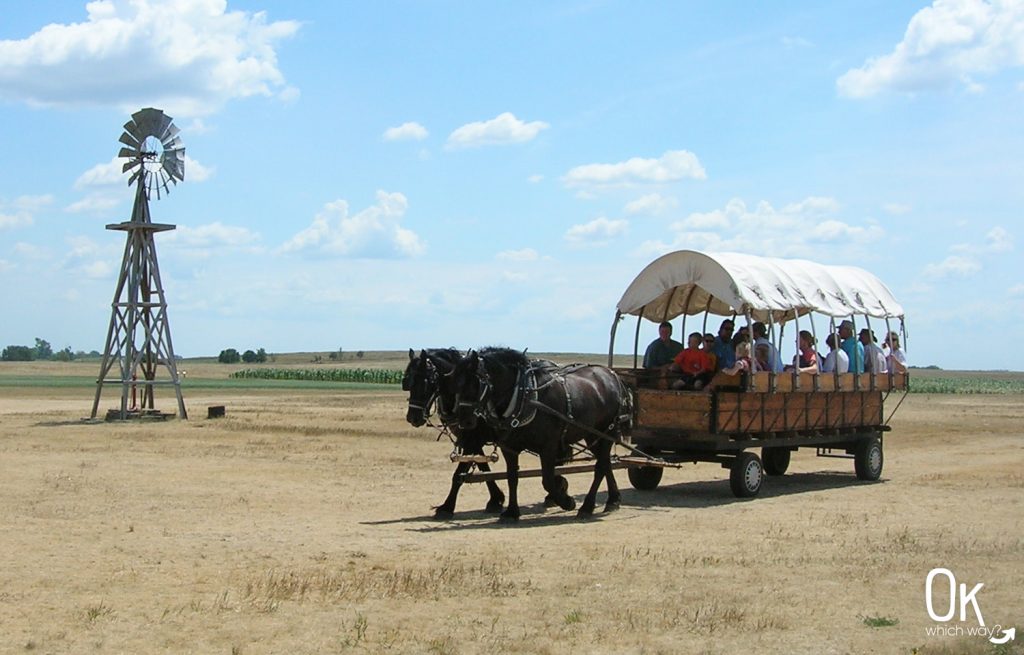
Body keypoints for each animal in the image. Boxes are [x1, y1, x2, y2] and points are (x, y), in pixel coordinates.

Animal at [403, 347, 507, 515]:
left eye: (425, 383)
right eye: (407, 382)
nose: (413, 417)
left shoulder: (472, 440)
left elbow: (459, 473)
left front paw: (446, 507)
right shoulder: (470, 440)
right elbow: (483, 467)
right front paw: (496, 499)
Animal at [454, 347, 630, 521]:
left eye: (475, 384)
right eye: (456, 383)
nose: (464, 421)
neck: (524, 396)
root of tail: (612, 375)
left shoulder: (548, 446)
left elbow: (547, 480)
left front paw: (566, 501)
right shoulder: (509, 448)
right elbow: (512, 477)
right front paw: (511, 511)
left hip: (607, 431)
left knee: (600, 466)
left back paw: (587, 507)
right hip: (592, 435)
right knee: (606, 463)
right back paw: (613, 500)